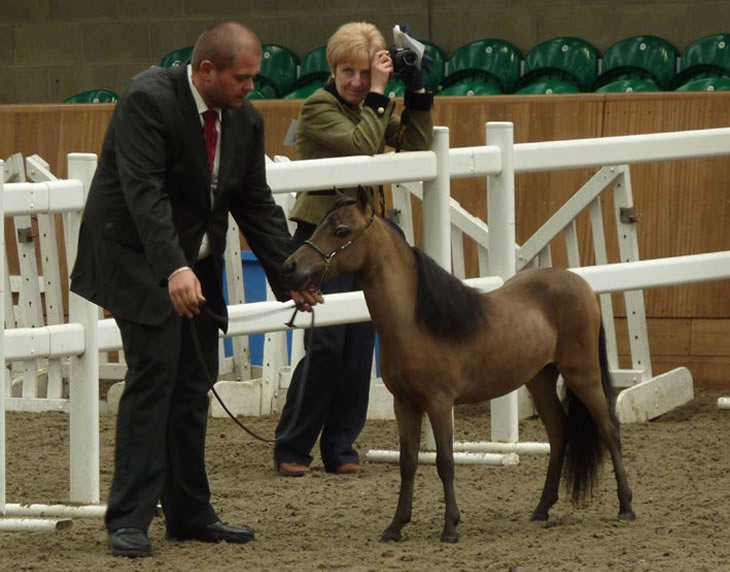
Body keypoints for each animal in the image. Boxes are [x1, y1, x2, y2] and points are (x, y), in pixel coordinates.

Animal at [278, 187, 632, 540]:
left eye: (342, 231)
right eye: (319, 224)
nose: (290, 267)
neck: (415, 321)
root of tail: (583, 286)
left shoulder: (438, 402)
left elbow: (445, 461)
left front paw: (450, 527)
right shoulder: (404, 404)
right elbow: (408, 463)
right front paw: (396, 526)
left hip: (583, 374)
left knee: (609, 429)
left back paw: (626, 507)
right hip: (540, 379)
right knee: (559, 433)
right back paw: (541, 509)